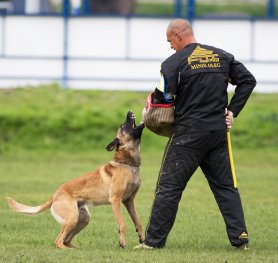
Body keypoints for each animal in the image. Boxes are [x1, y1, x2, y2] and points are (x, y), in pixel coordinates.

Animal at [6, 111, 146, 250]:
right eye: (122, 126)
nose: (129, 112)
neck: (127, 164)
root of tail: (55, 195)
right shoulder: (116, 200)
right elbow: (122, 223)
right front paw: (122, 242)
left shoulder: (129, 201)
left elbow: (138, 221)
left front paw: (142, 238)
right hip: (72, 218)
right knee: (58, 241)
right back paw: (68, 249)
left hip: (83, 219)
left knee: (65, 240)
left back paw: (75, 248)